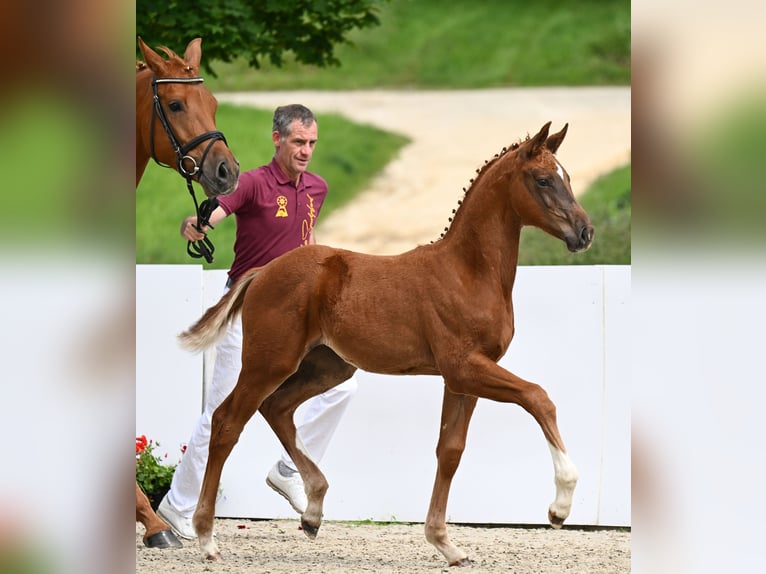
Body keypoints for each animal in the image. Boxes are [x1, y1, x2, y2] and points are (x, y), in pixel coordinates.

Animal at [180, 121, 592, 568]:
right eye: (543, 179)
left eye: (568, 177)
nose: (585, 232)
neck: (468, 271)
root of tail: (262, 271)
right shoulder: (465, 367)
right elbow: (539, 397)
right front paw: (560, 507)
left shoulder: (461, 379)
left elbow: (450, 451)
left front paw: (446, 544)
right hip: (267, 363)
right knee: (227, 422)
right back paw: (206, 538)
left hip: (328, 367)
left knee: (278, 408)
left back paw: (312, 511)